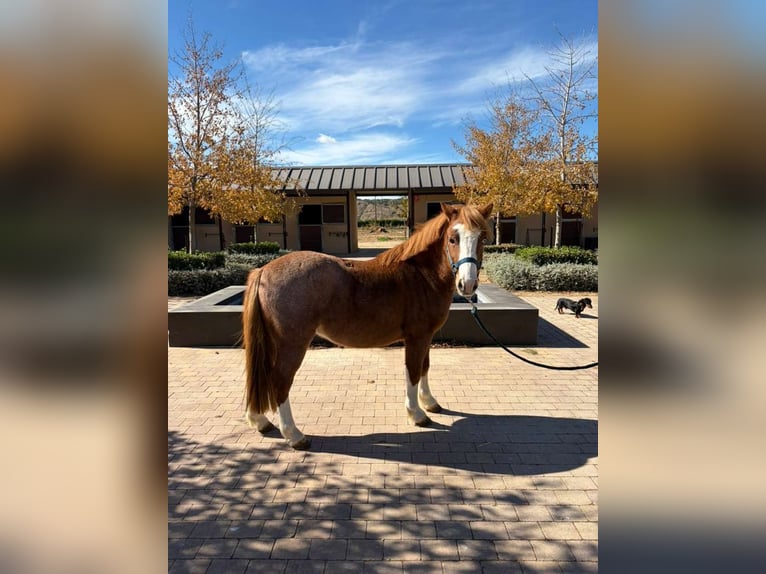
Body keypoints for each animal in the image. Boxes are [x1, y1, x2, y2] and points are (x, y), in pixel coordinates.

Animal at [242, 202, 493, 449]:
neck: (421, 276)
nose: (467, 284)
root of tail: (263, 270)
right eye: (453, 238)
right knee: (280, 380)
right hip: (293, 344)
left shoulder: (426, 337)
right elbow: (413, 371)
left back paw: (260, 421)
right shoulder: (417, 338)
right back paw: (294, 435)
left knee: (262, 376)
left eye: (482, 238)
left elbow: (424, 367)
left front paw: (430, 402)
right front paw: (417, 414)